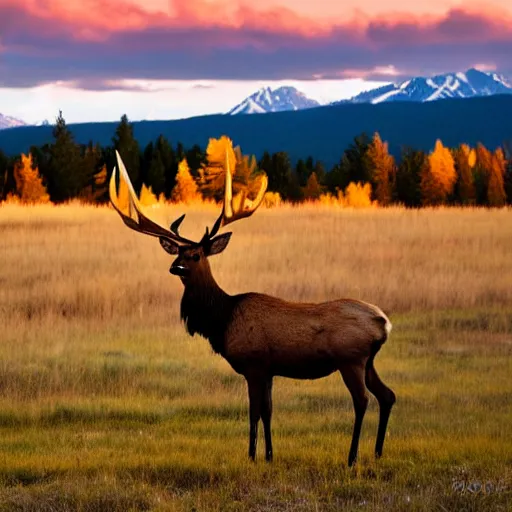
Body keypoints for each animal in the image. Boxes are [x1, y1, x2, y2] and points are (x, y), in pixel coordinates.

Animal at [108, 149, 396, 468]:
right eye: (179, 252)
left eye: (196, 255)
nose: (175, 267)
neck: (221, 319)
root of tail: (384, 323)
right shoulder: (268, 368)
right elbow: (268, 411)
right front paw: (269, 455)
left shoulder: (253, 363)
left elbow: (254, 412)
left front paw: (251, 455)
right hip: (368, 361)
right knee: (387, 395)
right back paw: (378, 452)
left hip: (351, 359)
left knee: (363, 400)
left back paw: (352, 457)